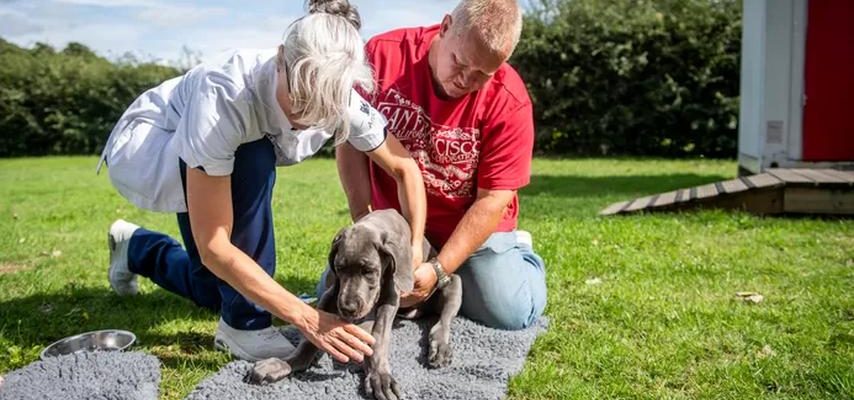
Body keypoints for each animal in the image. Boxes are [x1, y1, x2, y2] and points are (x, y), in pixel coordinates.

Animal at [244, 209, 464, 400]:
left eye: (369, 271)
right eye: (339, 268)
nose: (348, 309)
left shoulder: (391, 296)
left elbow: (379, 336)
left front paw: (379, 377)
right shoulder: (332, 294)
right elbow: (310, 338)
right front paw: (282, 363)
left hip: (453, 282)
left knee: (443, 320)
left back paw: (440, 347)